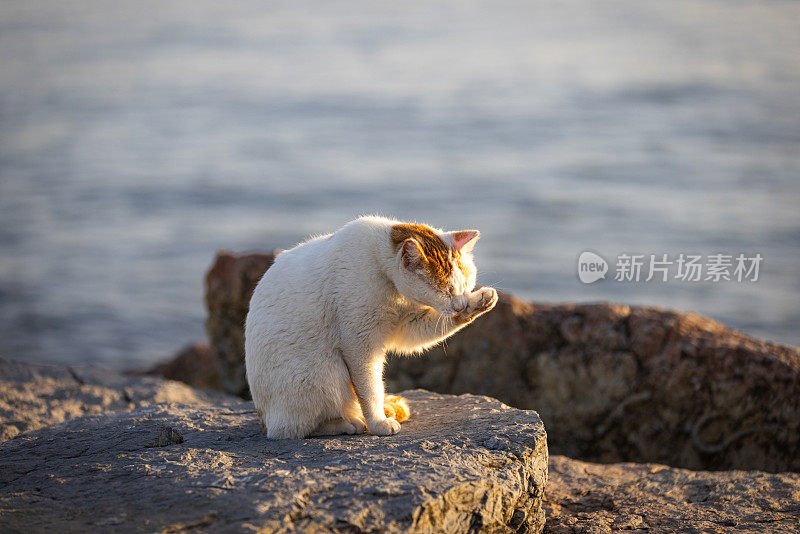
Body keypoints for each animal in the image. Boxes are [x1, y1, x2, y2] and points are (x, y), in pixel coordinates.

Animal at [244, 216, 496, 442]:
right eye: (445, 290)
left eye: (466, 285)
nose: (460, 304)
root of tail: (263, 420)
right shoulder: (359, 344)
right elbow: (370, 388)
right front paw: (378, 422)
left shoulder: (407, 327)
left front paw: (479, 302)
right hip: (325, 374)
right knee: (292, 429)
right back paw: (348, 423)